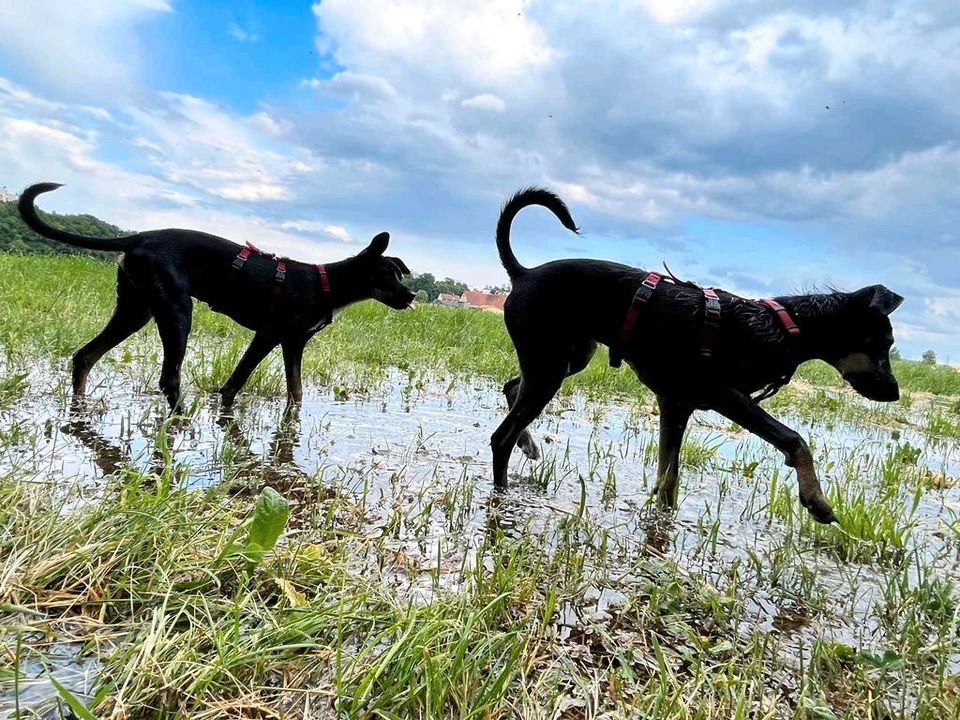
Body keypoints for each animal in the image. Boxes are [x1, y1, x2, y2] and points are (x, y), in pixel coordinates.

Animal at [19, 183, 416, 410]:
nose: (412, 296)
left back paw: (81, 407)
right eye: (386, 275)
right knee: (169, 378)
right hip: (177, 313)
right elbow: (236, 382)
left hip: (136, 311)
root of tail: (142, 236)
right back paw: (181, 421)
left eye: (400, 274)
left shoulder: (294, 344)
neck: (326, 283)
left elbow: (297, 391)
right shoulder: (268, 336)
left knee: (85, 356)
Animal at [492, 187, 904, 524]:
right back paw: (501, 495)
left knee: (512, 389)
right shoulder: (724, 395)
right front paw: (816, 499)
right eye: (883, 343)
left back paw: (527, 444)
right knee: (501, 437)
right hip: (549, 366)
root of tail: (522, 273)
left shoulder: (676, 406)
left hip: (566, 357)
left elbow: (668, 480)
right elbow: (794, 439)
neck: (783, 326)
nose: (895, 392)